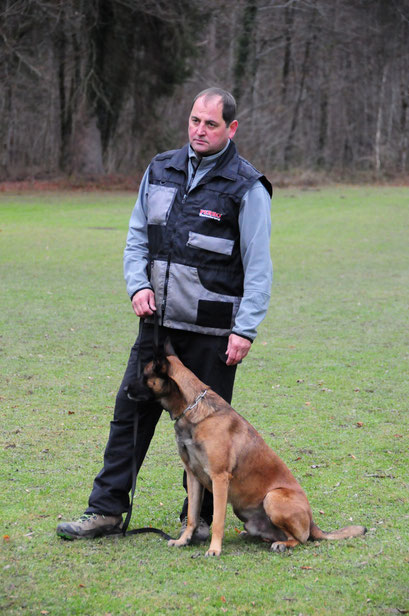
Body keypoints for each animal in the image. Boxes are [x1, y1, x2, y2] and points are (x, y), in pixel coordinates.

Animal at [126, 344, 364, 556]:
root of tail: (313, 522)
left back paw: (283, 544)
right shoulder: (193, 477)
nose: (126, 389)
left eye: (144, 375)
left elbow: (218, 520)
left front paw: (214, 549)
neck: (193, 409)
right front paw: (183, 540)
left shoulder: (219, 478)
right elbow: (193, 516)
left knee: (300, 538)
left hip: (272, 498)